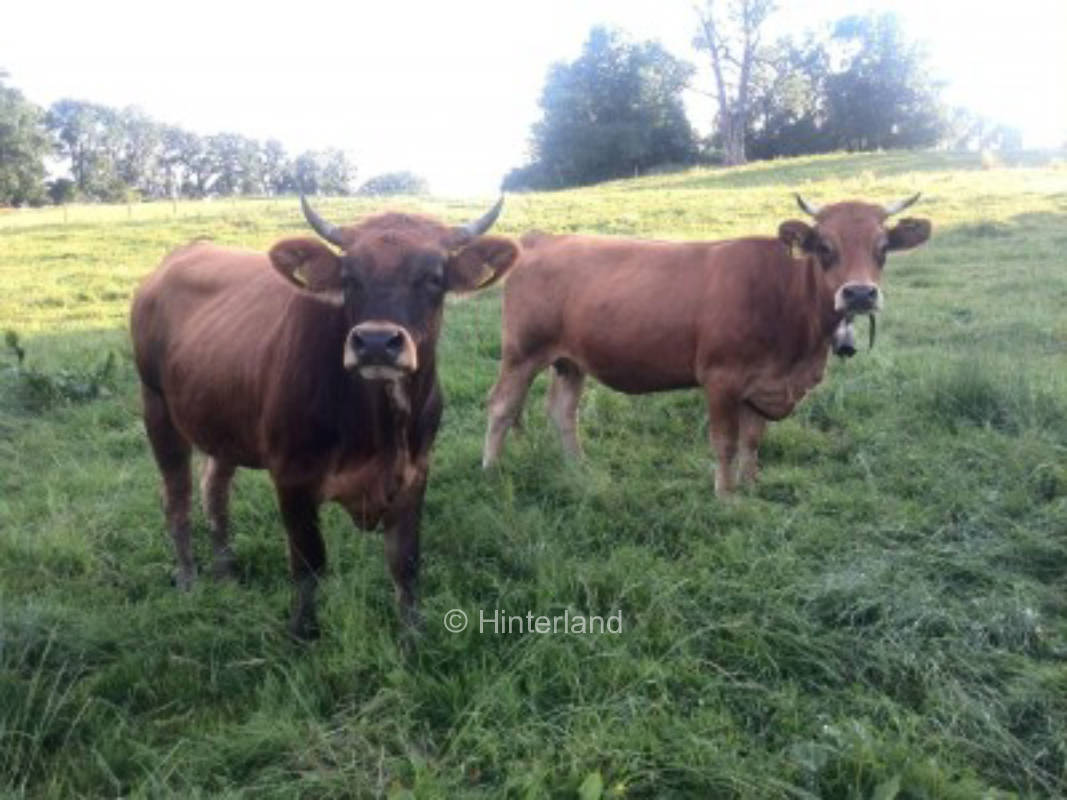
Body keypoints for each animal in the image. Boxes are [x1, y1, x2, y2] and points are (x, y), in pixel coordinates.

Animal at [132, 196, 516, 640]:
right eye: (349, 277)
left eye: (434, 277)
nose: (376, 343)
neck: (378, 429)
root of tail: (179, 256)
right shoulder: (291, 479)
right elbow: (308, 564)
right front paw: (302, 632)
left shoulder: (415, 473)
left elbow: (405, 562)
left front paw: (413, 638)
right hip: (157, 408)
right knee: (177, 498)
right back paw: (189, 578)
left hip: (223, 421)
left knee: (215, 489)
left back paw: (225, 572)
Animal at [480, 195, 930, 494]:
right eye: (824, 247)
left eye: (883, 248)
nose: (859, 293)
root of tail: (541, 238)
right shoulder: (721, 379)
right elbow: (726, 443)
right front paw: (726, 498)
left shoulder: (764, 383)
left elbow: (752, 440)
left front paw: (751, 486)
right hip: (520, 353)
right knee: (502, 406)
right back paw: (490, 470)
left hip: (571, 361)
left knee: (562, 412)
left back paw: (578, 469)